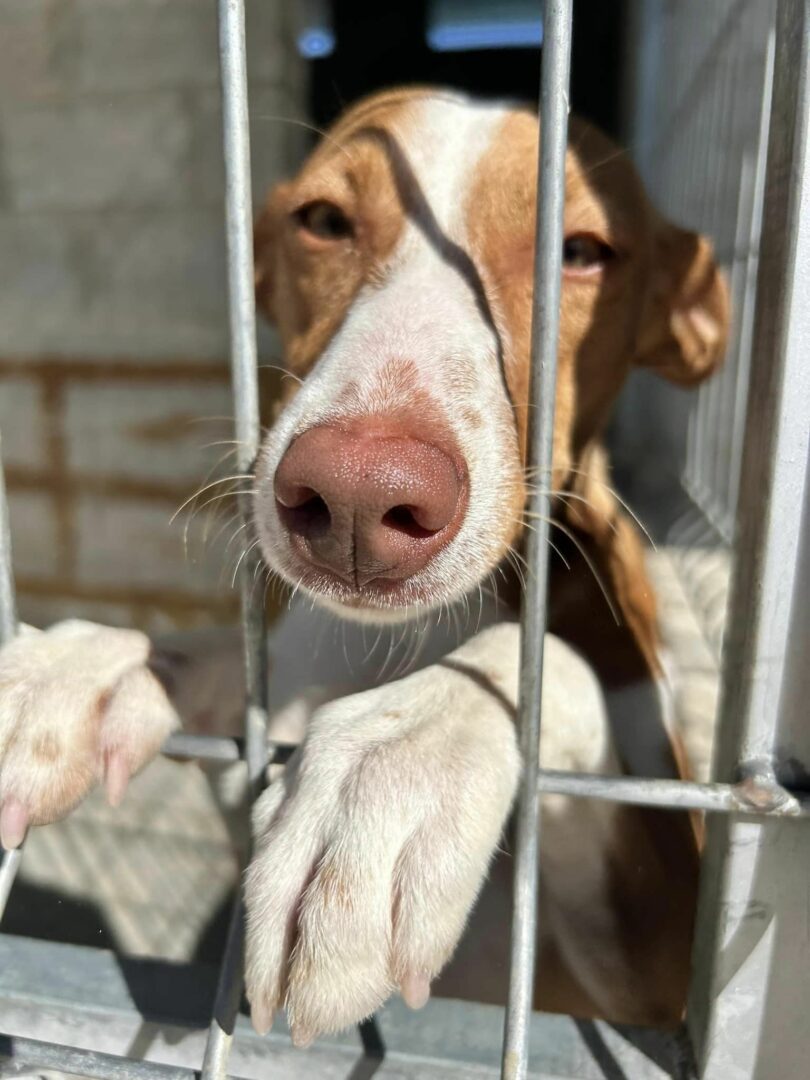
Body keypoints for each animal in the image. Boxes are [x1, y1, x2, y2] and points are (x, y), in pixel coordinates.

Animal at [0, 90, 730, 1045]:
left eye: (581, 252)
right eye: (323, 221)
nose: (356, 492)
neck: (400, 642)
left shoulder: (659, 974)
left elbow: (545, 662)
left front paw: (390, 768)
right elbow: (197, 651)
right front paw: (68, 666)